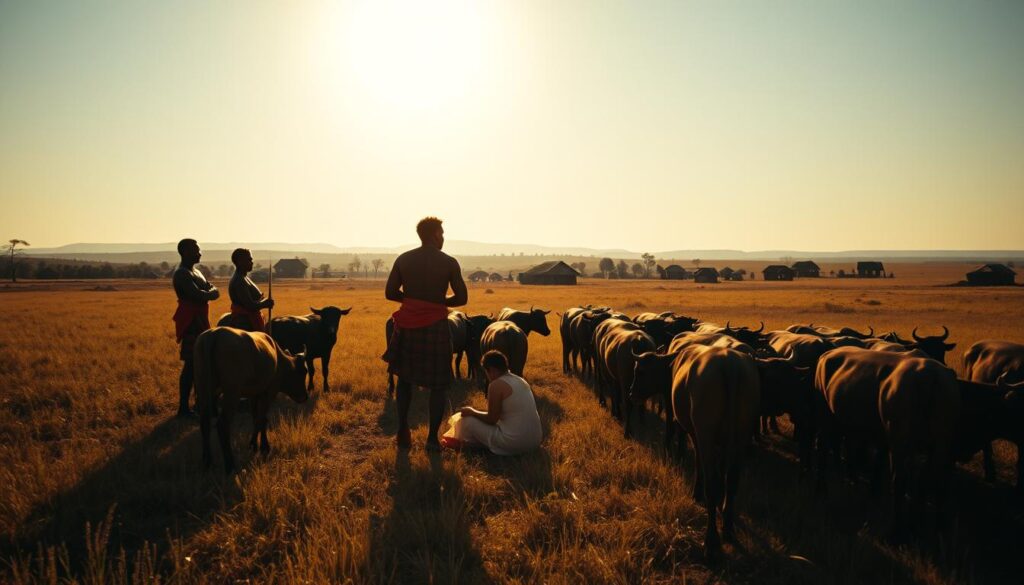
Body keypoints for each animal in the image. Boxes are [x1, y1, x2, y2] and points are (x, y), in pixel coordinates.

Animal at [192, 327, 307, 473]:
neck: (278, 359)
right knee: (222, 425)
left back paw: (207, 460)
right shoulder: (268, 393)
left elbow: (256, 418)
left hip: (204, 389)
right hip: (232, 394)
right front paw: (258, 445)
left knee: (205, 422)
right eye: (303, 372)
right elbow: (261, 419)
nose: (304, 396)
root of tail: (214, 334)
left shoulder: (254, 395)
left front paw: (258, 444)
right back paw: (230, 465)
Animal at [622, 346, 761, 561]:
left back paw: (711, 542)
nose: (631, 393)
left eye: (640, 371)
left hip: (706, 434)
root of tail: (729, 363)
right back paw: (727, 526)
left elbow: (690, 453)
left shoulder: (695, 433)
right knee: (731, 481)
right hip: (741, 437)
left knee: (713, 485)